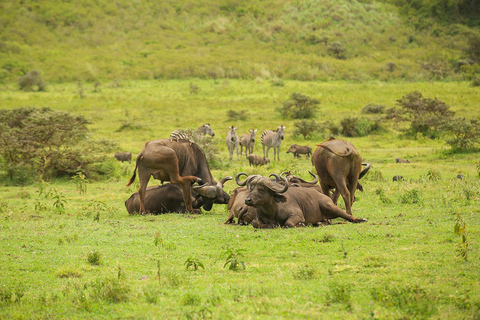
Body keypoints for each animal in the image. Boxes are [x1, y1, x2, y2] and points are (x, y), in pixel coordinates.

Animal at [236, 172, 368, 228]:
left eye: (262, 189)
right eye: (251, 188)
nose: (248, 200)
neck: (272, 210)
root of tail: (325, 196)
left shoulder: (297, 215)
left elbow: (289, 223)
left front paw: (300, 224)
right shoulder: (258, 219)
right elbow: (255, 223)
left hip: (330, 207)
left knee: (347, 216)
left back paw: (361, 219)